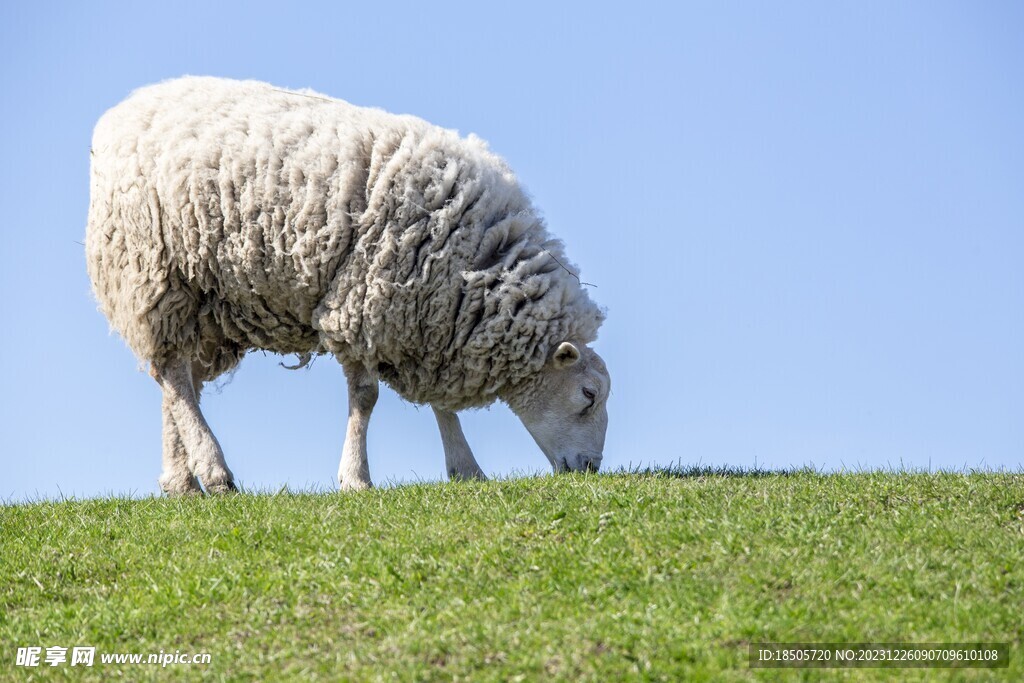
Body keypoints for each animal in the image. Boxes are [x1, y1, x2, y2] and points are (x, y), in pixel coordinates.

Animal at [86, 76, 606, 491]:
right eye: (588, 395)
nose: (590, 468)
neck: (474, 263)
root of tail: (122, 111)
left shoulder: (430, 322)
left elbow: (441, 405)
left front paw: (466, 469)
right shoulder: (363, 305)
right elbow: (366, 398)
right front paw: (356, 477)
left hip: (204, 300)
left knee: (178, 380)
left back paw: (181, 480)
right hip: (153, 270)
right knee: (173, 373)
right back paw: (214, 472)